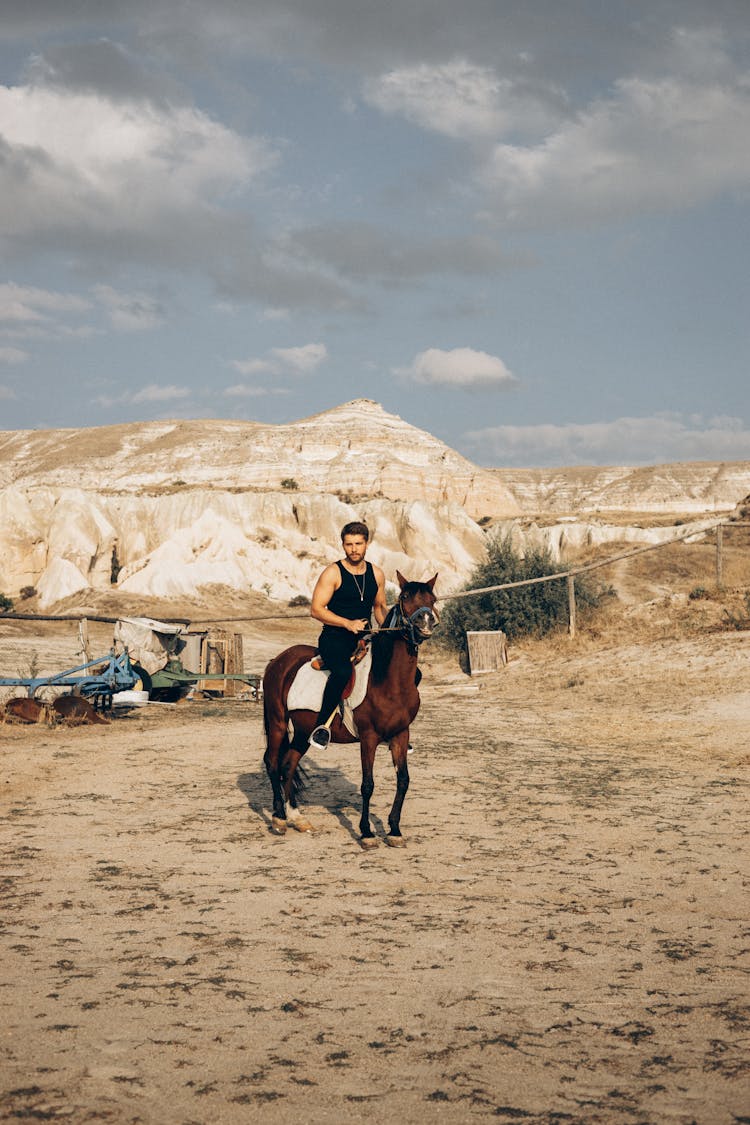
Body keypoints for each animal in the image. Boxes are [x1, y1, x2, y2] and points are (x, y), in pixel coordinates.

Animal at [264, 576, 440, 846]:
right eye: (404, 597)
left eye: (432, 599)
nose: (426, 621)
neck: (387, 681)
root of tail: (279, 661)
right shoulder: (368, 738)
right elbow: (367, 784)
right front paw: (367, 833)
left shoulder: (401, 735)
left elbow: (403, 780)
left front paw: (394, 830)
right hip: (277, 723)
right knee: (273, 764)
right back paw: (279, 819)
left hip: (304, 732)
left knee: (288, 764)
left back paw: (297, 818)